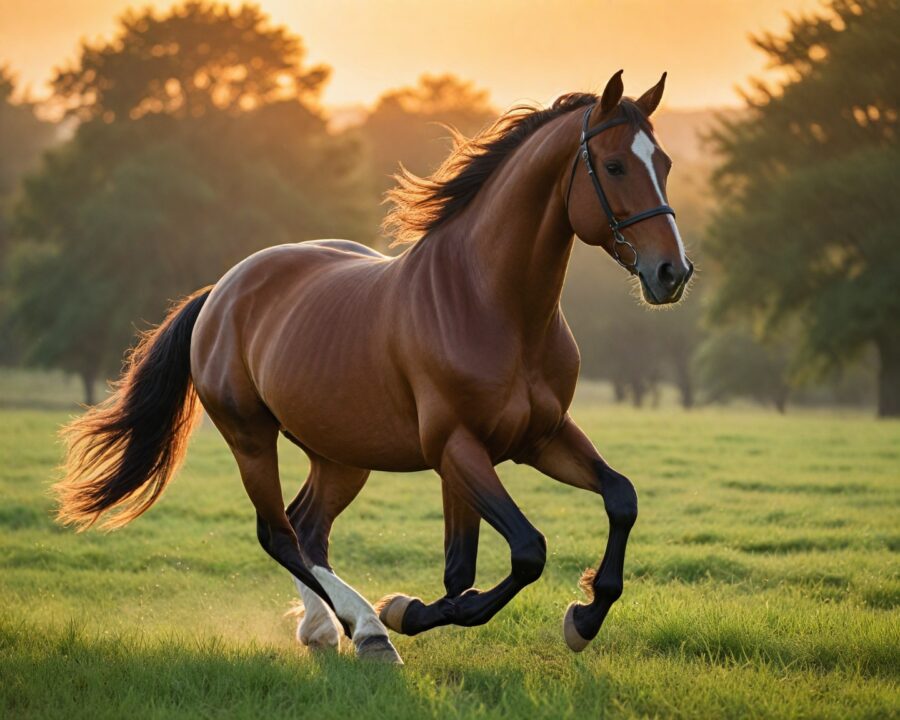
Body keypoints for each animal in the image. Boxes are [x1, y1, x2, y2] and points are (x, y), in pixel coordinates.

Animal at [55, 70, 693, 664]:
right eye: (614, 165)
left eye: (662, 162)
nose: (672, 273)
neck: (493, 305)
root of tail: (222, 291)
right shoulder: (457, 449)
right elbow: (519, 555)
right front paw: (406, 611)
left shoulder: (540, 436)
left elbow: (618, 499)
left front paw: (583, 617)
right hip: (252, 440)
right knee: (278, 534)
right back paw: (366, 629)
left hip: (340, 456)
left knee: (308, 529)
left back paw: (325, 628)